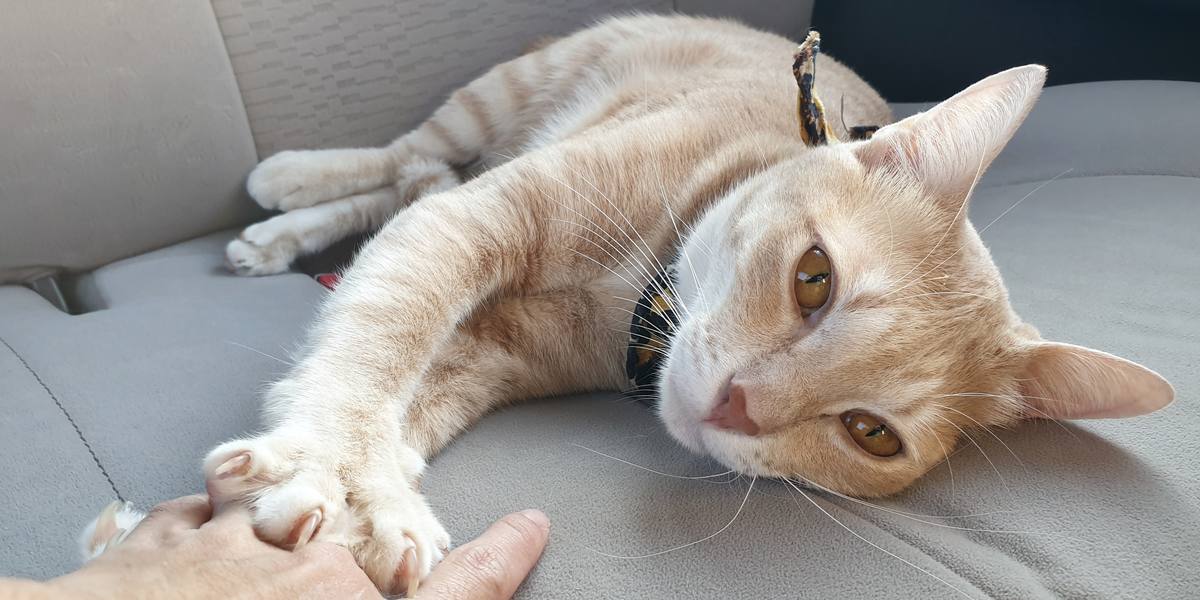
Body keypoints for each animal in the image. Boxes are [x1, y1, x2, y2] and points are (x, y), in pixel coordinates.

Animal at [82, 12, 1171, 595]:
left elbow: (411, 389)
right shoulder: (482, 219)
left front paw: (374, 489)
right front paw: (341, 471)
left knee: (404, 186)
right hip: (500, 95)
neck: (635, 298)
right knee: (406, 159)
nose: (739, 406)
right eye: (814, 277)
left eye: (871, 434)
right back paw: (289, 188)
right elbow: (384, 328)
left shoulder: (489, 354)